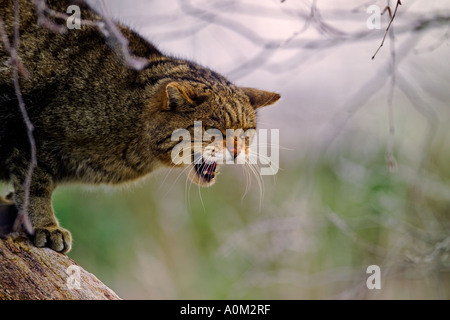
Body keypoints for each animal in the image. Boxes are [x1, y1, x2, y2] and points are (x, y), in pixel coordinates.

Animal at [0, 0, 280, 252]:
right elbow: (35, 186)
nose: (237, 151)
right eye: (214, 130)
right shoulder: (29, 134)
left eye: (246, 132)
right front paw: (45, 226)